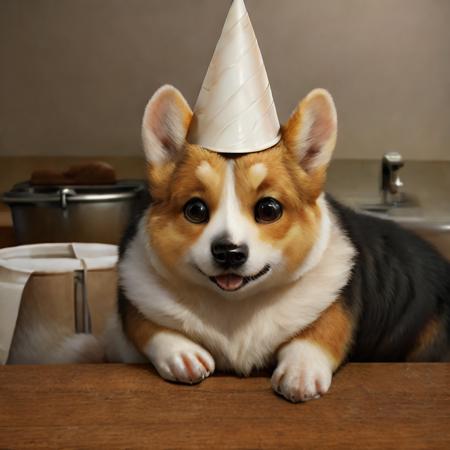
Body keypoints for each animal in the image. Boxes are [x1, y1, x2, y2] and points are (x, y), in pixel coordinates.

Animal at [106, 86, 450, 402]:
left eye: (269, 209)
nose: (228, 252)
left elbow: (323, 330)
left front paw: (301, 371)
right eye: (195, 210)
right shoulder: (134, 300)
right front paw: (183, 355)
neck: (235, 305)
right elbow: (149, 327)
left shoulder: (339, 301)